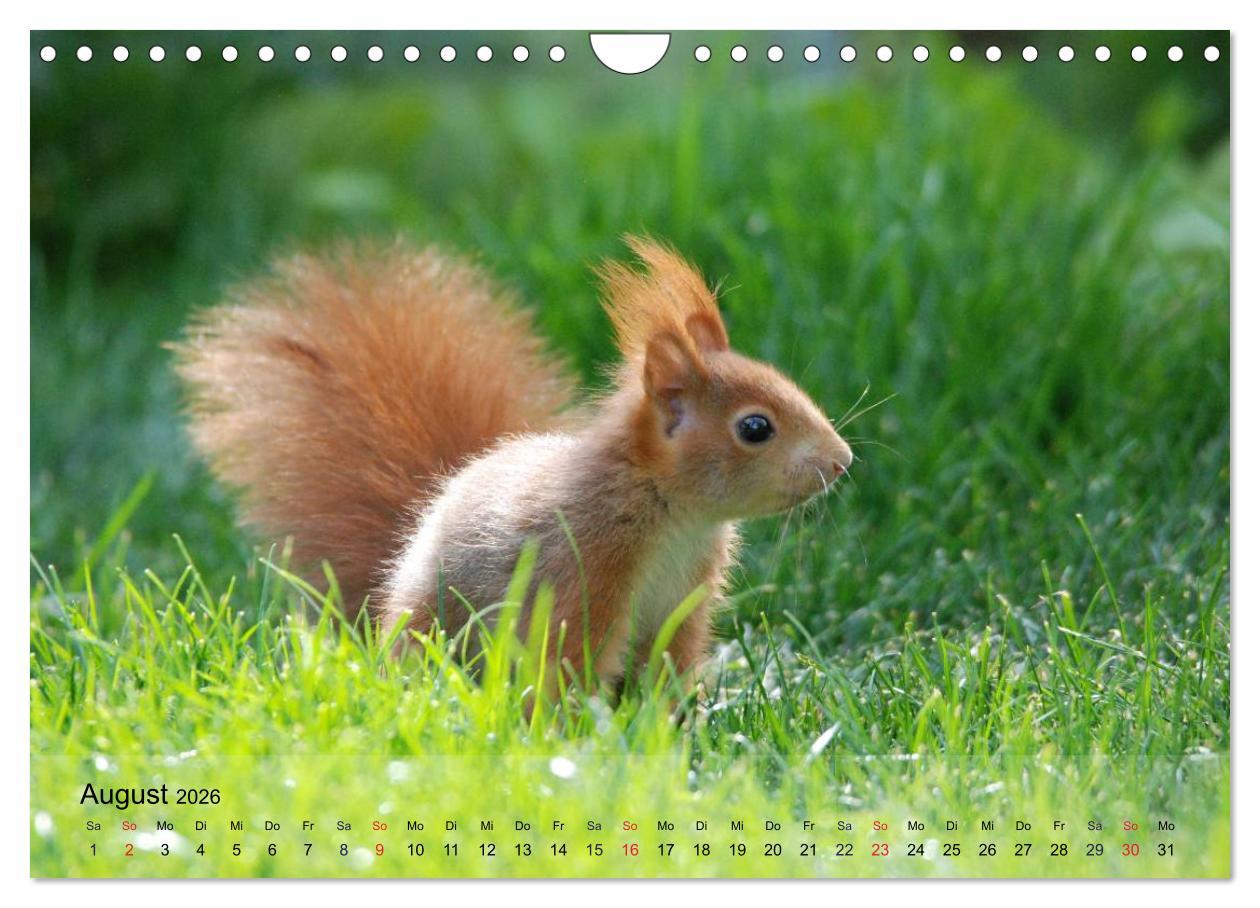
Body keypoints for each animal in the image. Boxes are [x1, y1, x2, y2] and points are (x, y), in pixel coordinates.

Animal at [173, 236, 852, 693]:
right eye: (755, 428)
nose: (841, 462)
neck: (672, 511)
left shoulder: (683, 599)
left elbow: (667, 665)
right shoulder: (582, 566)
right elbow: (563, 661)